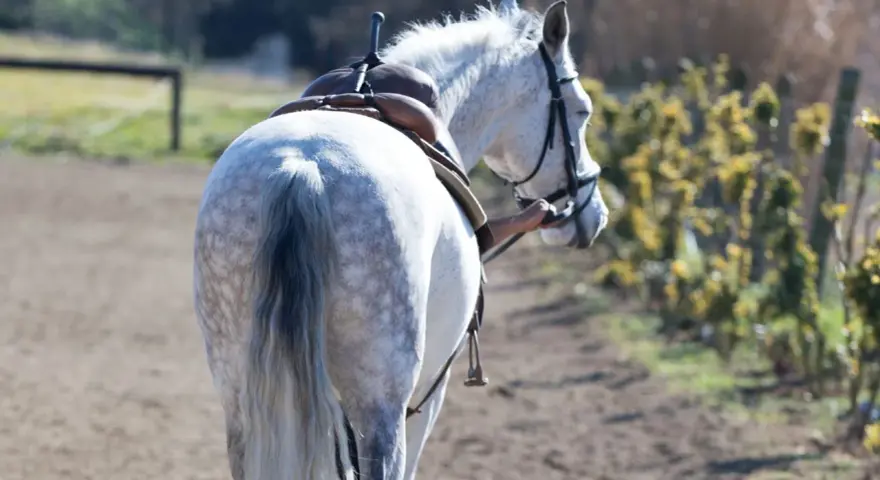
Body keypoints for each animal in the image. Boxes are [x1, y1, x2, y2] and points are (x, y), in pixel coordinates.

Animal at [191, 1, 609, 479]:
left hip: (243, 396)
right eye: (582, 110)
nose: (593, 213)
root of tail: (302, 167)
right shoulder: (429, 393)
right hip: (382, 405)